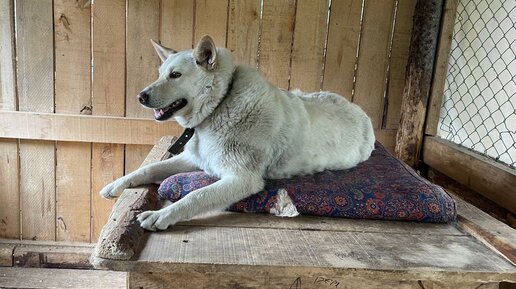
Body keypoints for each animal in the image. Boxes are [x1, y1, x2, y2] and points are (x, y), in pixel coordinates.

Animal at [101, 35, 374, 230]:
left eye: (175, 75)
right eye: (160, 75)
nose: (140, 97)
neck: (220, 104)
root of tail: (362, 112)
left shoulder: (241, 179)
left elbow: (196, 196)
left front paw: (162, 215)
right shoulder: (193, 159)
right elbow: (147, 169)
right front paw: (117, 184)